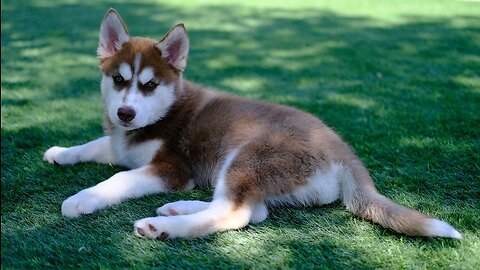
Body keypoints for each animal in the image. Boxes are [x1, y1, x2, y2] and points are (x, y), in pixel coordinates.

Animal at [44, 8, 462, 240]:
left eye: (149, 85)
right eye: (118, 80)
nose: (125, 113)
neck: (159, 117)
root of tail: (343, 151)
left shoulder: (172, 167)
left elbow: (120, 178)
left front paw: (83, 199)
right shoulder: (121, 143)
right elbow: (98, 144)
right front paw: (61, 152)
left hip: (249, 156)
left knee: (236, 212)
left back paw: (165, 226)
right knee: (254, 210)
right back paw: (178, 209)